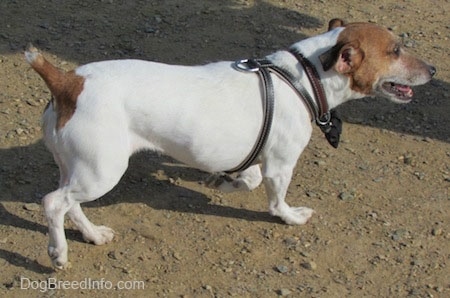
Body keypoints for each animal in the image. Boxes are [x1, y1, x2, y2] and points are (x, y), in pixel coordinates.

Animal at [25, 19, 436, 270]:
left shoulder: (255, 158)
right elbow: (276, 202)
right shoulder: (281, 165)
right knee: (53, 203)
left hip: (79, 168)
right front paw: (289, 216)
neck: (303, 77)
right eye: (396, 50)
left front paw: (225, 182)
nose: (433, 70)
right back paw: (58, 252)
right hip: (103, 170)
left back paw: (92, 234)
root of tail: (67, 82)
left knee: (70, 205)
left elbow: (248, 179)